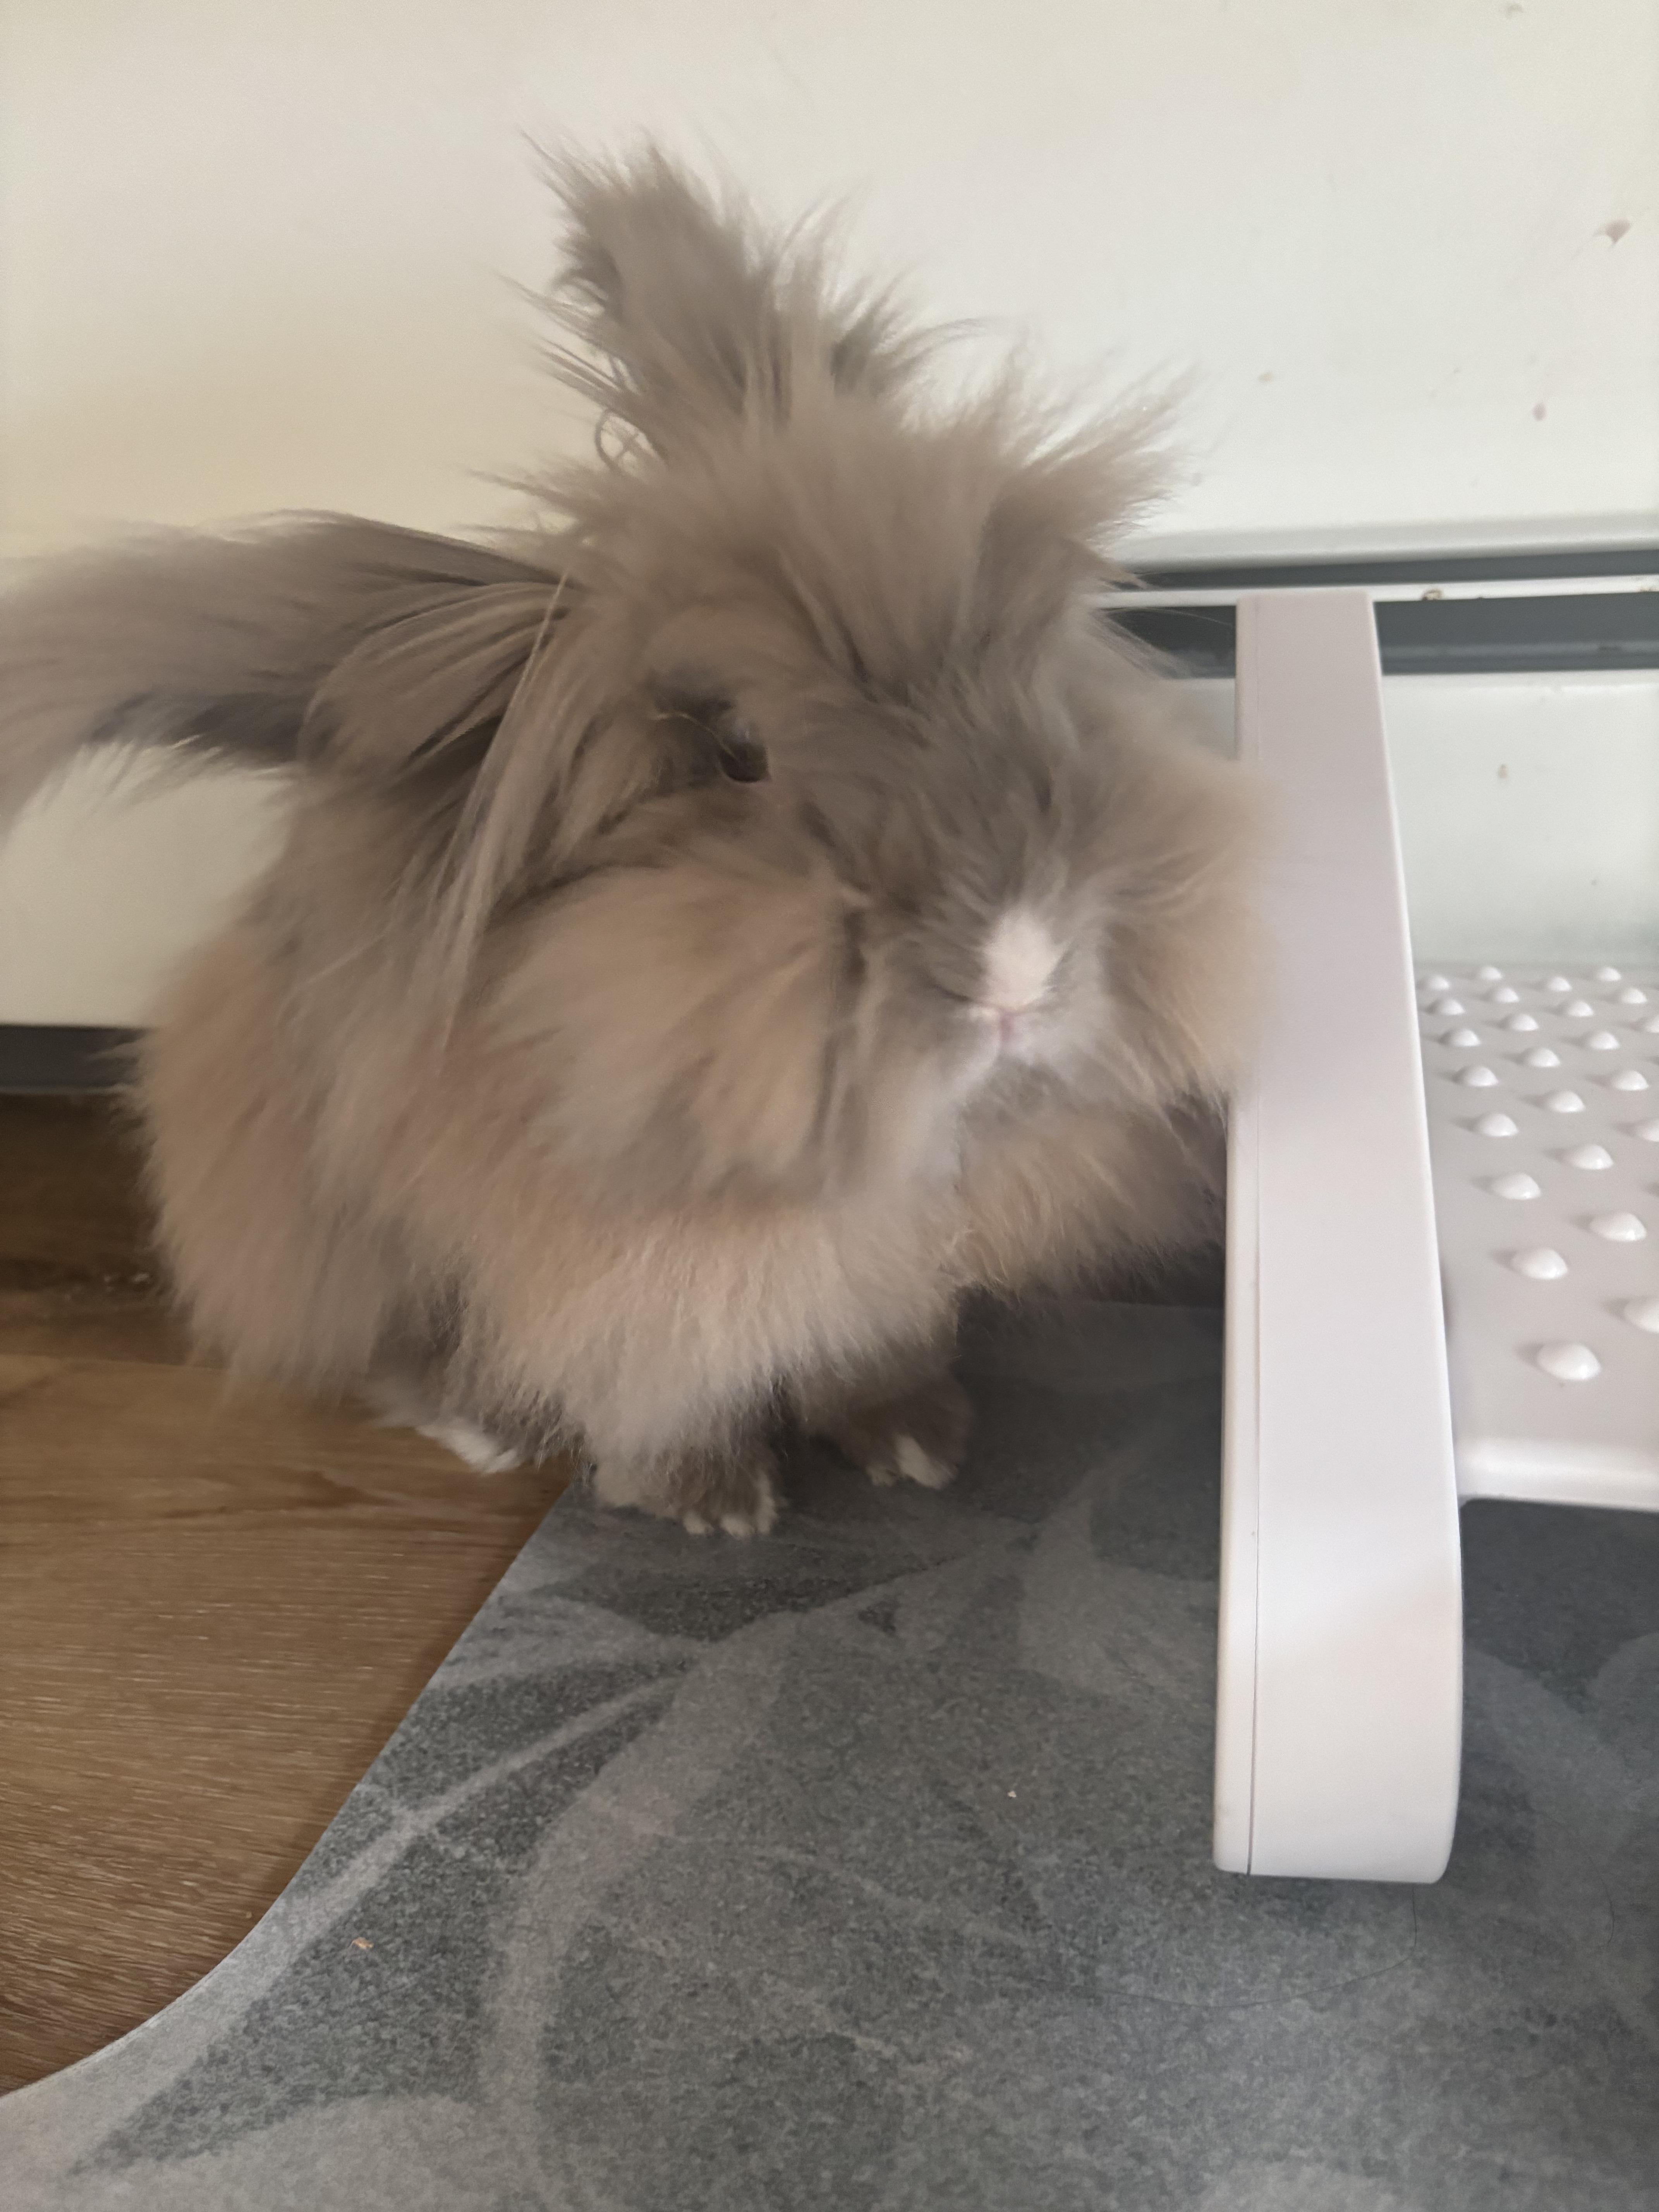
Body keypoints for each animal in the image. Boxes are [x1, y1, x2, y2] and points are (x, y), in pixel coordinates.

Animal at [0, 148, 1258, 1535]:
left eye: (1032, 668)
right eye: (738, 751)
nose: (1020, 968)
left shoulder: (874, 1260)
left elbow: (864, 1337)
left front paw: (915, 1440)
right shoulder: (598, 1275)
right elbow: (650, 1384)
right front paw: (712, 1504)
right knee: (385, 1350)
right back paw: (486, 1425)